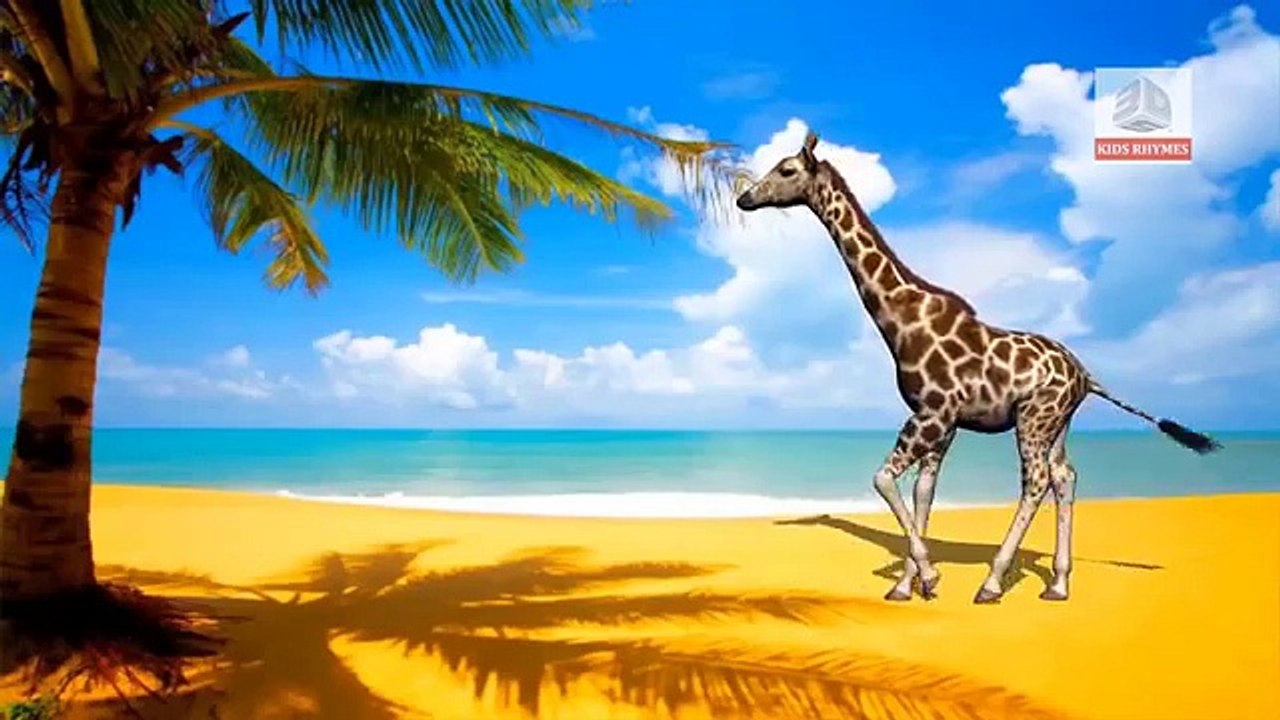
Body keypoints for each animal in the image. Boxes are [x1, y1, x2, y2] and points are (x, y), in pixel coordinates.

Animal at [735, 130, 1222, 604]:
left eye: (787, 169)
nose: (744, 198)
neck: (901, 318)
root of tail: (1085, 376)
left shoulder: (932, 414)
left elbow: (883, 479)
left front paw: (928, 576)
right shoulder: (941, 422)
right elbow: (923, 493)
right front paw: (907, 585)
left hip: (1032, 419)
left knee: (1036, 482)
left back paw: (992, 583)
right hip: (1058, 424)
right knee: (1065, 477)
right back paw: (1058, 585)